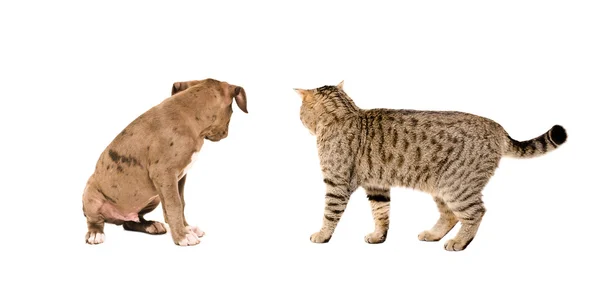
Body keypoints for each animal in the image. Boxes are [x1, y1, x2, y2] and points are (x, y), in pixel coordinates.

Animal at [81, 78, 246, 245]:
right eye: (232, 112)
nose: (225, 133)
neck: (190, 113)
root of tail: (116, 218)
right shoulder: (165, 174)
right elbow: (174, 204)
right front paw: (182, 236)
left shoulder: (178, 178)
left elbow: (181, 202)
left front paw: (187, 228)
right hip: (91, 195)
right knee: (95, 220)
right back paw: (95, 233)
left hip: (152, 199)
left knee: (131, 222)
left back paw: (149, 225)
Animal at [294, 80, 568, 250]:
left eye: (300, 113)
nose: (299, 119)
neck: (344, 114)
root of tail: (498, 128)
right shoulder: (377, 186)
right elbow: (381, 214)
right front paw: (379, 236)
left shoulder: (336, 183)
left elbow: (329, 214)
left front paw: (322, 235)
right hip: (442, 187)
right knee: (450, 215)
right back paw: (434, 234)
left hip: (456, 186)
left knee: (475, 213)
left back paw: (460, 242)